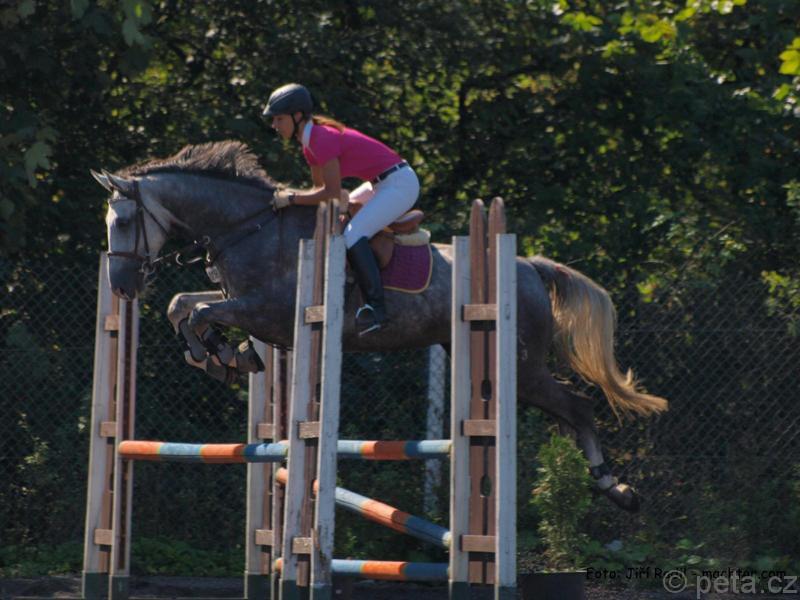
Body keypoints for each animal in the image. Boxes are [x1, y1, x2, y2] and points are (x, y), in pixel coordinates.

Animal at [92, 140, 668, 512]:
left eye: (124, 221)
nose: (121, 284)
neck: (248, 227)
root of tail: (528, 266)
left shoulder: (268, 312)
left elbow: (200, 312)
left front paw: (217, 356)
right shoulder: (247, 304)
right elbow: (183, 304)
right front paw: (224, 357)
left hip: (522, 369)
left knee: (580, 407)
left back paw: (616, 491)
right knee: (568, 413)